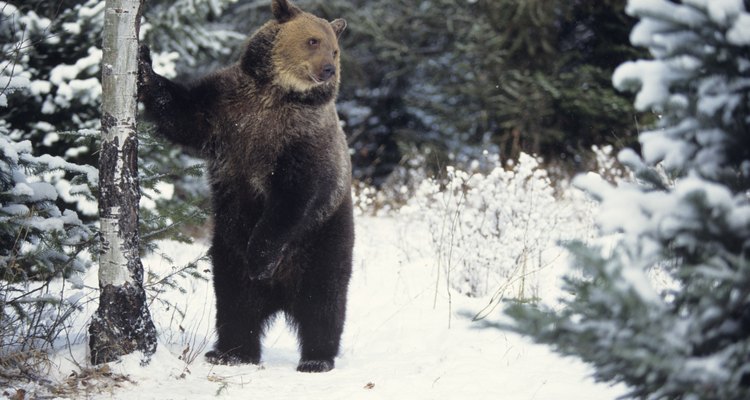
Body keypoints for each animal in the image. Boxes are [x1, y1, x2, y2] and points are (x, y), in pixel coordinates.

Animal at [138, 0, 356, 372]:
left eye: (335, 49)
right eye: (313, 40)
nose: (327, 69)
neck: (276, 94)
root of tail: (280, 296)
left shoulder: (303, 141)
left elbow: (294, 197)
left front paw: (261, 258)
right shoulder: (226, 109)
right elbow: (182, 112)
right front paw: (143, 59)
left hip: (324, 235)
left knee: (323, 299)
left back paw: (316, 357)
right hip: (227, 244)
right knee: (235, 301)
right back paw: (231, 352)